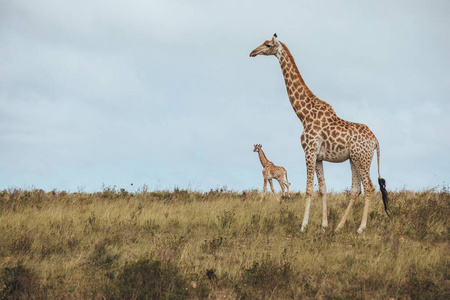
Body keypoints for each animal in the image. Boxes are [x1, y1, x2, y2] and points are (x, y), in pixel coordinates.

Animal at [248, 33, 388, 234]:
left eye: (267, 45)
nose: (252, 52)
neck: (303, 115)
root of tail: (376, 141)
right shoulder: (319, 157)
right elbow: (322, 189)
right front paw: (324, 225)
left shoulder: (309, 151)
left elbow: (308, 189)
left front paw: (303, 226)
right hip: (354, 159)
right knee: (356, 189)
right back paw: (339, 227)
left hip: (362, 158)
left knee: (369, 187)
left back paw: (360, 228)